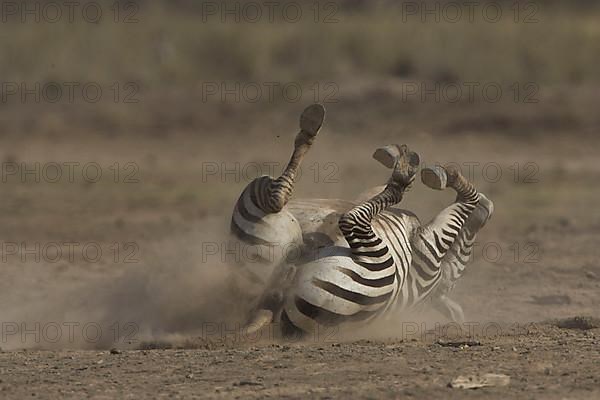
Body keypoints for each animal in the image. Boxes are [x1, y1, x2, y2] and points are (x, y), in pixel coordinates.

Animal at [230, 104, 492, 334]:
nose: (486, 210)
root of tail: (270, 304)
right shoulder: (426, 247)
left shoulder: (426, 248)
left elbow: (463, 203)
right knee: (283, 197)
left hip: (370, 261)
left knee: (295, 202)